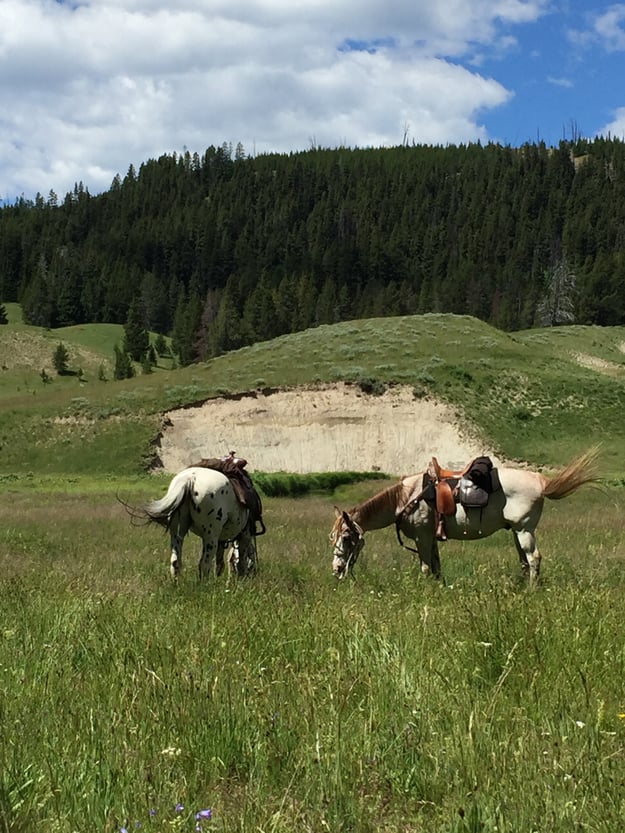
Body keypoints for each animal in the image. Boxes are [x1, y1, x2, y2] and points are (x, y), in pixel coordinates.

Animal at [332, 448, 600, 584]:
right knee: (524, 560)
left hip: (525, 530)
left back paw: (532, 589)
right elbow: (437, 567)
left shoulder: (422, 537)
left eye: (346, 537)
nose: (336, 569)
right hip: (517, 531)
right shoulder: (430, 537)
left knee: (533, 558)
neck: (407, 497)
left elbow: (426, 568)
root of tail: (540, 480)